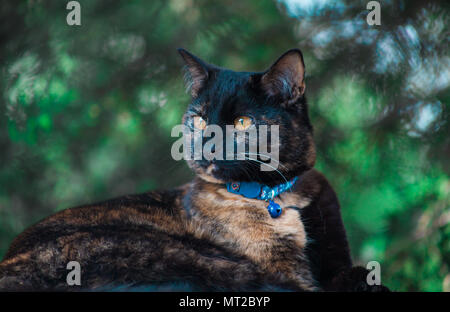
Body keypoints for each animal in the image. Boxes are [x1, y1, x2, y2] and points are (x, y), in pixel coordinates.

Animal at [0, 47, 386, 292]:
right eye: (199, 120)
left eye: (242, 122)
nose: (206, 144)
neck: (278, 195)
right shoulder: (286, 271)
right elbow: (307, 284)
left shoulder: (335, 255)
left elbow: (354, 272)